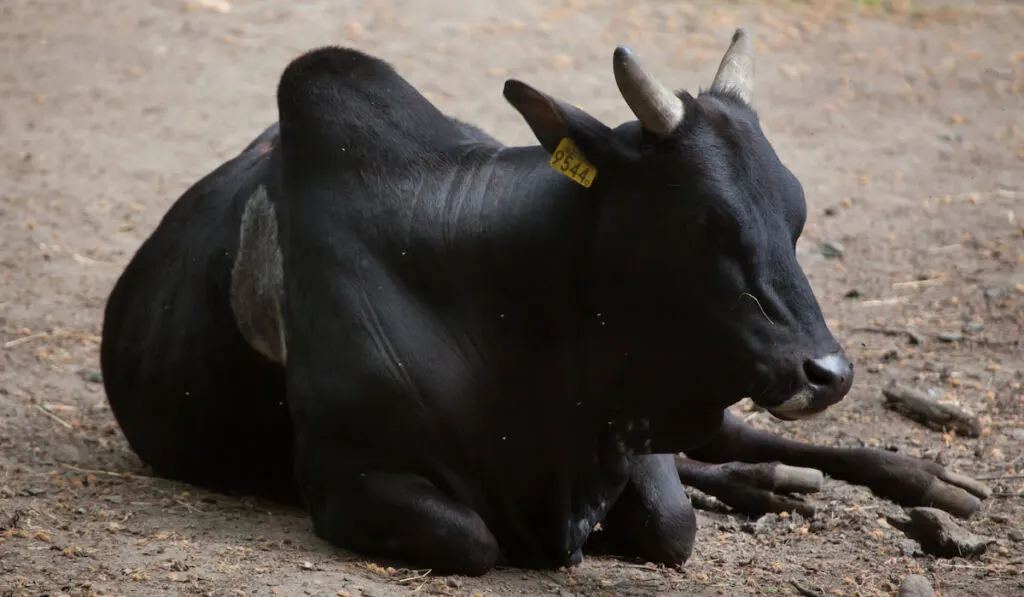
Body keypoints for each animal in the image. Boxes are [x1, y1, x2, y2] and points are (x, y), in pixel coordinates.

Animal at [99, 30, 987, 577]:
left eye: (797, 212)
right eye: (706, 221)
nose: (826, 371)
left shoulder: (637, 427)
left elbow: (672, 521)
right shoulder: (348, 476)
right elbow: (473, 537)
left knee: (737, 441)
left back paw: (925, 479)